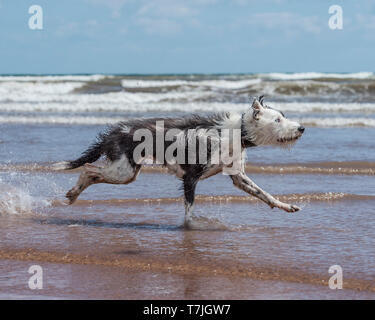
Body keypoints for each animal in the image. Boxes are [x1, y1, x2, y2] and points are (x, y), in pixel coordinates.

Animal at [53, 96, 306, 224]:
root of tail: (113, 133)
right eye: (277, 120)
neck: (234, 132)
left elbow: (265, 194)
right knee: (88, 168)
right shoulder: (190, 178)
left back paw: (74, 194)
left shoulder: (238, 177)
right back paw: (74, 192)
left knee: (90, 172)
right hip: (123, 171)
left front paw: (285, 205)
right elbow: (189, 211)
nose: (302, 128)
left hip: (126, 172)